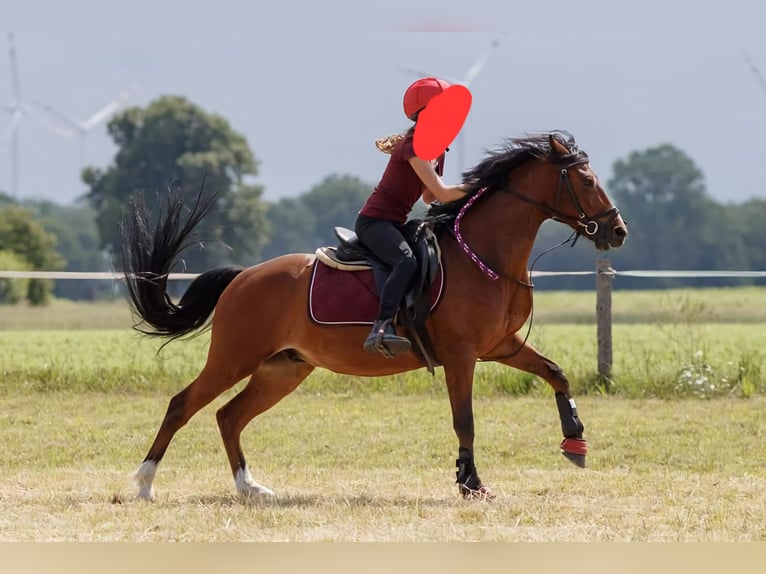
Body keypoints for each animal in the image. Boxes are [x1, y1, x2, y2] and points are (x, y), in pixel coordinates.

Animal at [121, 133, 632, 502]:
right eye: (587, 181)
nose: (617, 230)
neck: (484, 254)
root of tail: (243, 276)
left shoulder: (501, 346)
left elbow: (556, 373)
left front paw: (575, 443)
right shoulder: (462, 355)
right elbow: (464, 420)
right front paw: (471, 484)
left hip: (282, 368)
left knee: (229, 416)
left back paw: (250, 488)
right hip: (234, 358)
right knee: (182, 405)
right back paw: (144, 484)